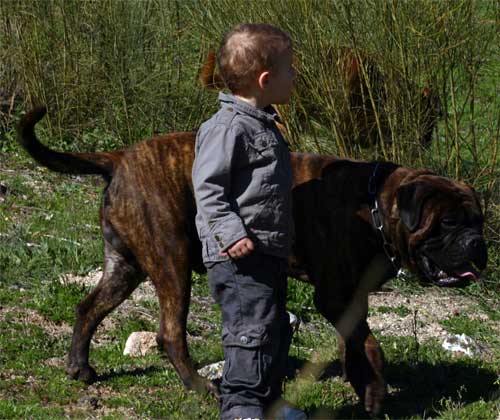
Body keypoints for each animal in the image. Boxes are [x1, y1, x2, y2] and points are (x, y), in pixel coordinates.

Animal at [17, 106, 486, 416]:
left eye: (478, 219)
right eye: (446, 223)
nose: (477, 243)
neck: (374, 206)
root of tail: (119, 157)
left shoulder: (352, 299)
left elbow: (357, 344)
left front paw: (366, 389)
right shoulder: (334, 296)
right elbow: (369, 345)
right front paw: (375, 391)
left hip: (124, 265)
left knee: (88, 307)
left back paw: (79, 367)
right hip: (171, 259)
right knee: (170, 332)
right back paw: (199, 386)